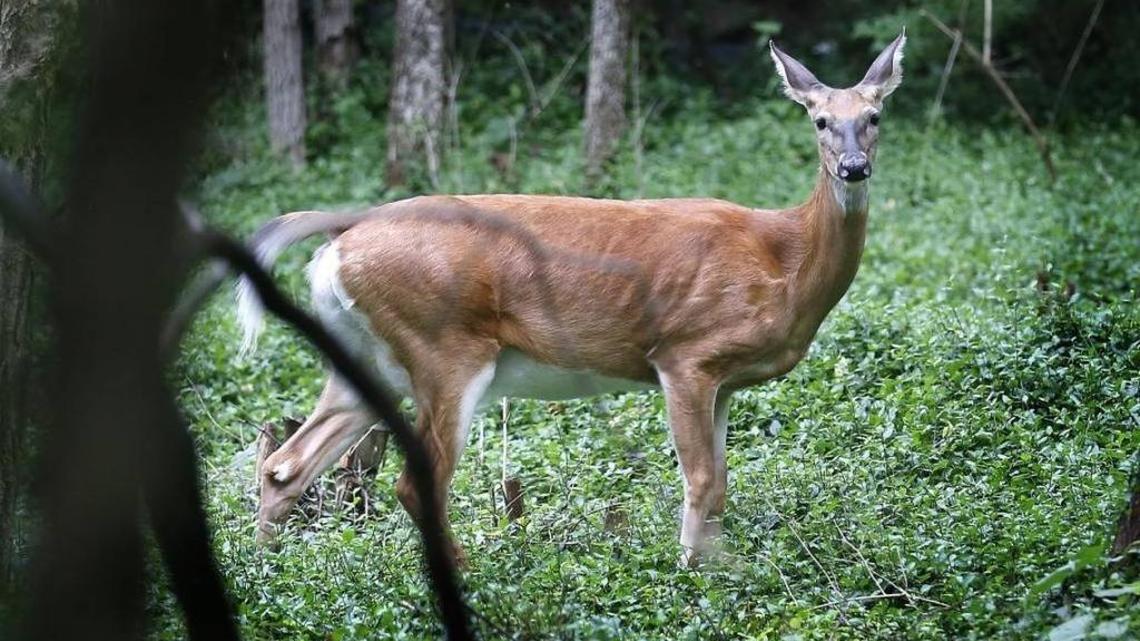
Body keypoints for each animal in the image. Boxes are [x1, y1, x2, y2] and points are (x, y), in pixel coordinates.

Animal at [236, 32, 906, 567]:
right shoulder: (685, 354)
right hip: (444, 346)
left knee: (285, 464)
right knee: (413, 480)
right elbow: (701, 480)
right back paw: (468, 573)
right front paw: (696, 573)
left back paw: (265, 568)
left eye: (875, 115)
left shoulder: (725, 380)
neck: (785, 260)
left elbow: (720, 482)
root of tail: (345, 232)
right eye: (820, 120)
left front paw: (715, 566)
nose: (853, 167)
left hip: (365, 356)